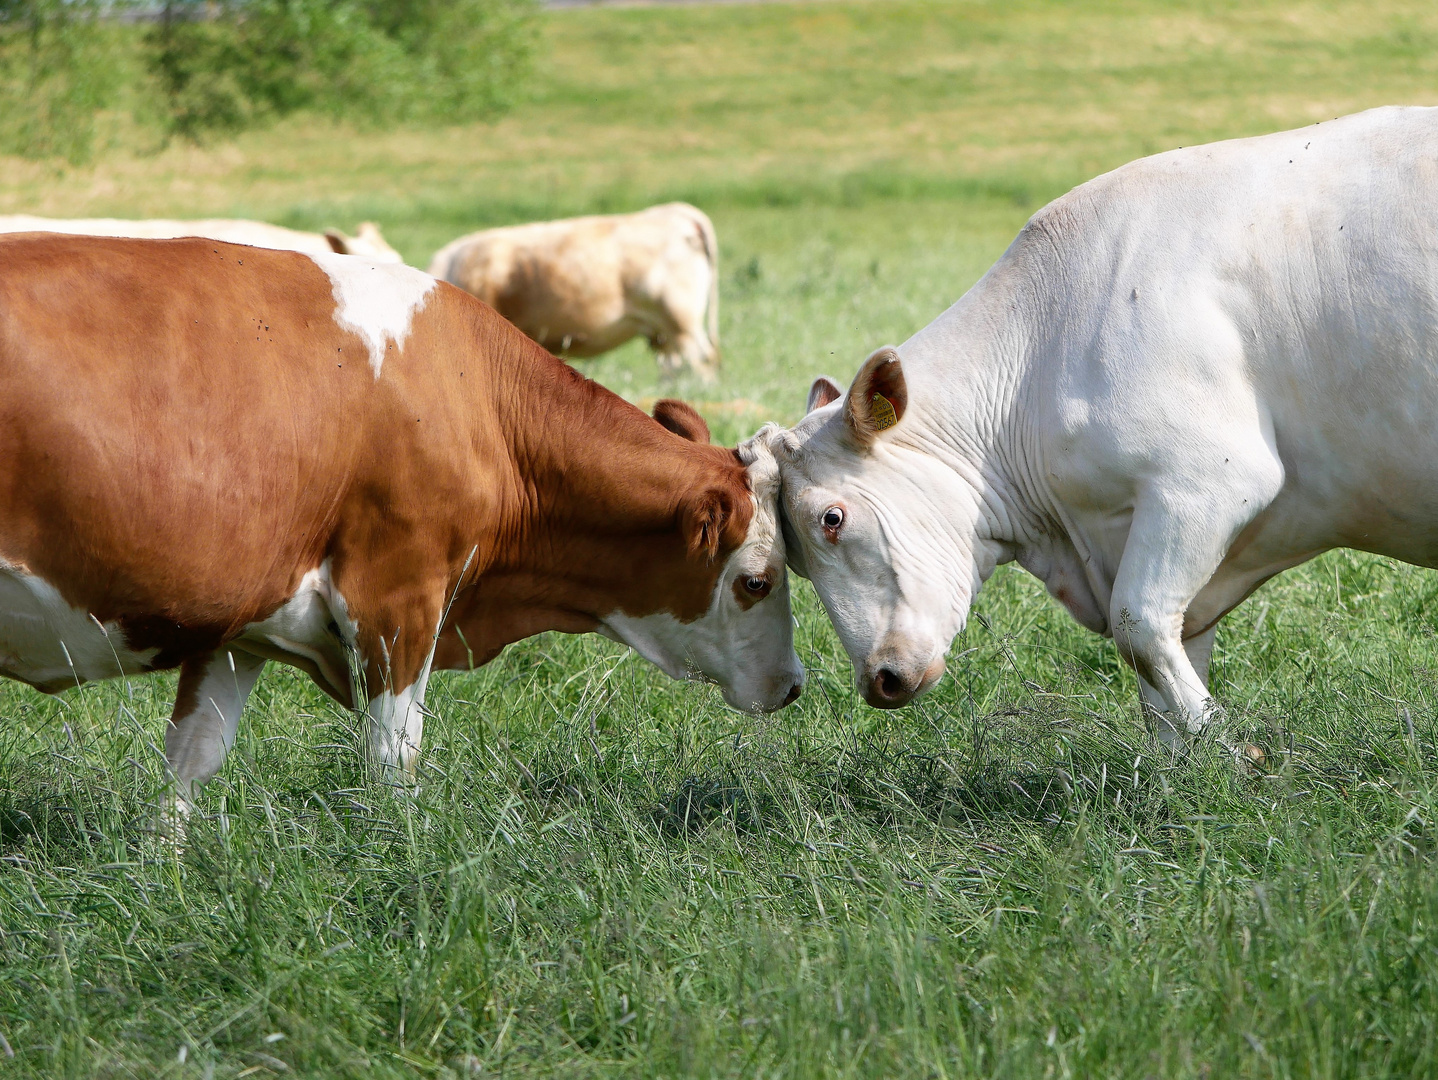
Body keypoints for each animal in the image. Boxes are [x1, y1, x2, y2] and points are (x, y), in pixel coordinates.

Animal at [0, 235, 799, 811]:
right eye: (756, 582)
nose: (794, 688)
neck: (487, 404)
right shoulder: (398, 598)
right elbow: (394, 761)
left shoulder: (235, 623)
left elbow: (190, 765)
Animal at [770, 110, 1438, 747]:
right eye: (792, 562)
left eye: (832, 519)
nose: (878, 680)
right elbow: (1162, 669)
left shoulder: (1206, 482)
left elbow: (1137, 625)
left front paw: (1229, 752)